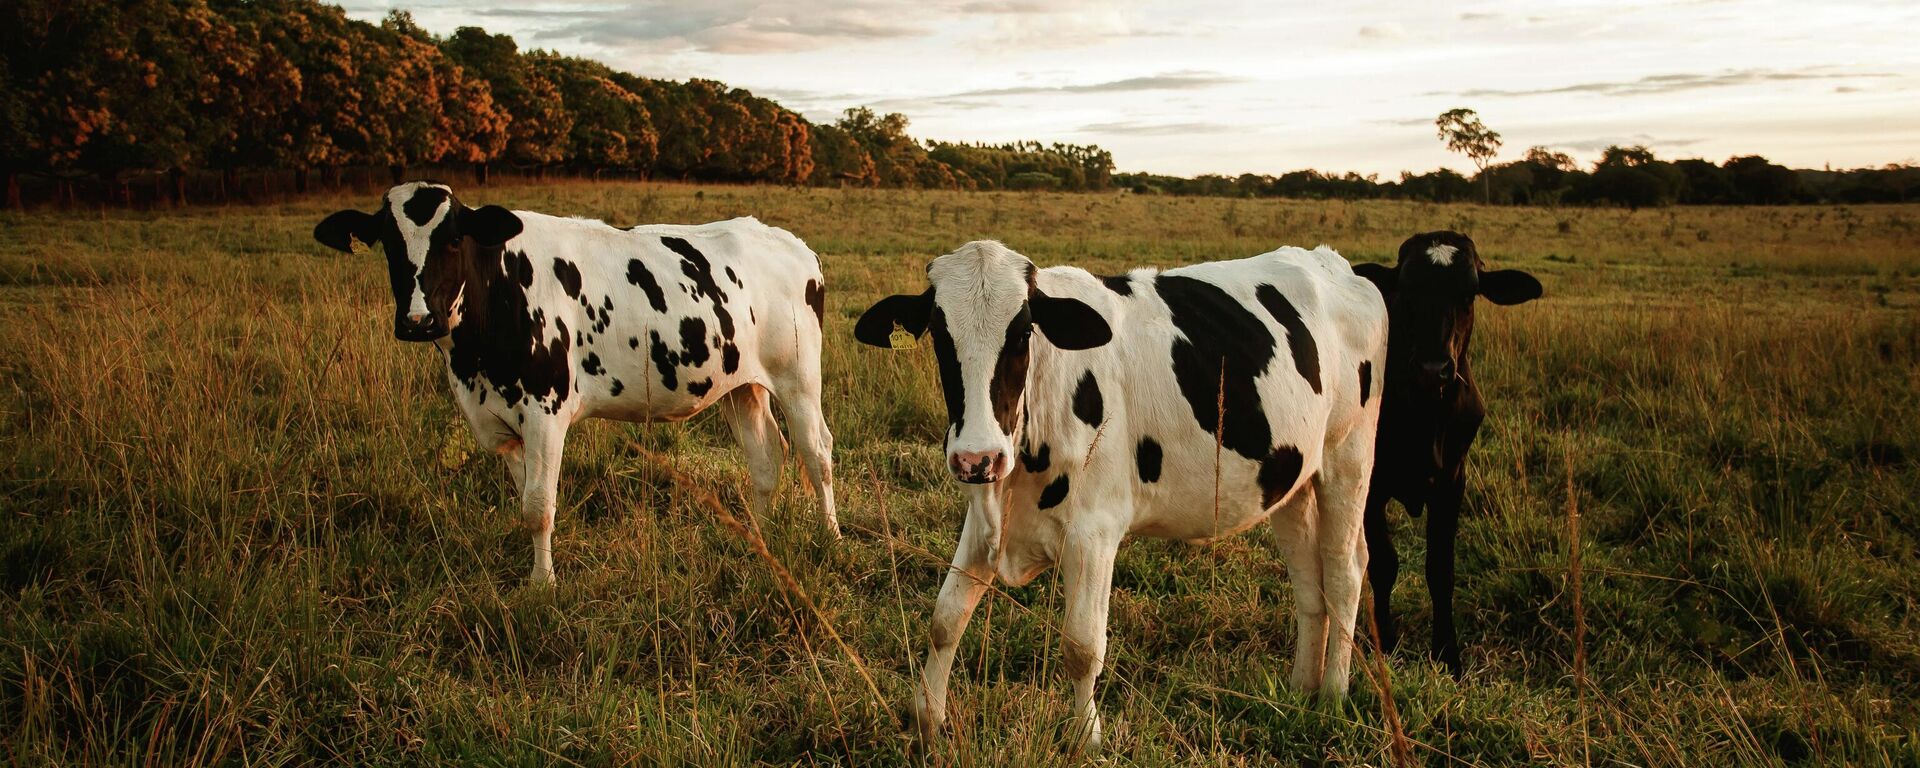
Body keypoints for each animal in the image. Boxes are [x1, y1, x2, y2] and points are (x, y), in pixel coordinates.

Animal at [313, 182, 839, 584]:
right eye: (387, 240)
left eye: (454, 239)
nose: (418, 320)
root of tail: (792, 243)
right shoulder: (499, 423)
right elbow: (525, 502)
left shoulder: (545, 413)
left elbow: (539, 505)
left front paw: (542, 585)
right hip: (740, 384)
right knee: (766, 457)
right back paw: (759, 541)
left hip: (798, 378)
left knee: (817, 453)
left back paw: (830, 537)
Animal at [855, 240, 1388, 750]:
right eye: (939, 334)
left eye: (1023, 333)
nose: (976, 457)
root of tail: (1335, 264)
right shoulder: (986, 522)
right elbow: (945, 617)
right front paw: (927, 721)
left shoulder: (1094, 533)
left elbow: (1081, 645)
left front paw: (1086, 737)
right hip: (1291, 477)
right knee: (1309, 581)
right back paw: (1301, 689)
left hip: (1348, 456)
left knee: (1344, 571)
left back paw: (1334, 695)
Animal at [1350, 231, 1542, 676]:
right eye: (1406, 288)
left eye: (1469, 292)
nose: (1432, 368)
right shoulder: (1373, 486)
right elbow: (1384, 564)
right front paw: (1387, 641)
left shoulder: (1453, 482)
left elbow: (1441, 570)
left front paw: (1447, 653)